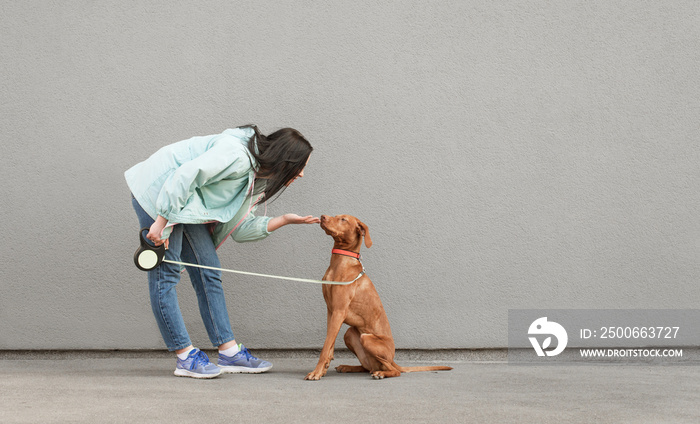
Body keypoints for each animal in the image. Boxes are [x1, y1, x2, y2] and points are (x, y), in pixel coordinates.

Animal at [304, 215, 452, 380]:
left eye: (343, 219)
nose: (322, 217)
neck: (340, 263)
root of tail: (393, 359)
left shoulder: (339, 311)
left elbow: (325, 347)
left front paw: (316, 372)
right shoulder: (331, 311)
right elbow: (330, 345)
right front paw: (323, 369)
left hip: (367, 339)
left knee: (394, 371)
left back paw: (381, 373)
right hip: (350, 334)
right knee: (367, 367)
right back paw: (349, 367)